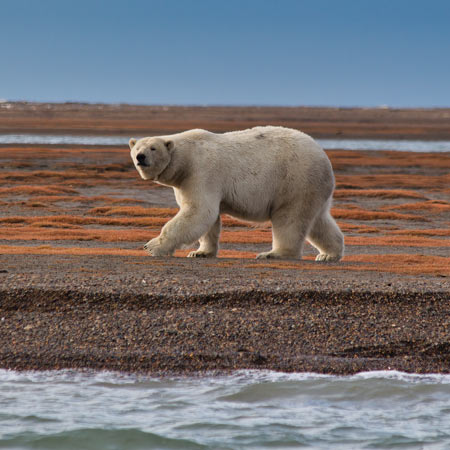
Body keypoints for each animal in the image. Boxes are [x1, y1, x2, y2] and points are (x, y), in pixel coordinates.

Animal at [130, 125, 344, 262]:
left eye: (153, 148)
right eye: (137, 148)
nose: (140, 157)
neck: (186, 159)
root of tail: (324, 157)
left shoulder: (201, 172)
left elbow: (198, 211)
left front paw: (152, 246)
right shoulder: (186, 182)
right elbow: (208, 219)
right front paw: (201, 252)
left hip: (295, 180)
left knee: (289, 218)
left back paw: (273, 254)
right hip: (313, 187)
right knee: (319, 221)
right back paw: (328, 254)